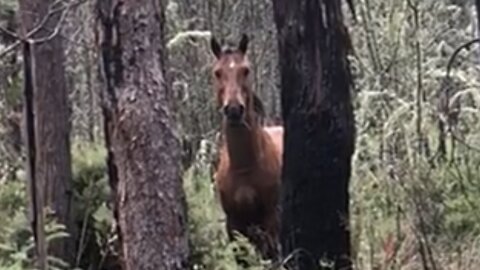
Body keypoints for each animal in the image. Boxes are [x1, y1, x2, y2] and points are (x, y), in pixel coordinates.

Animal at [209, 33, 284, 262]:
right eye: (217, 72)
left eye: (246, 70)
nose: (234, 110)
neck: (243, 166)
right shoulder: (233, 223)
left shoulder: (270, 218)